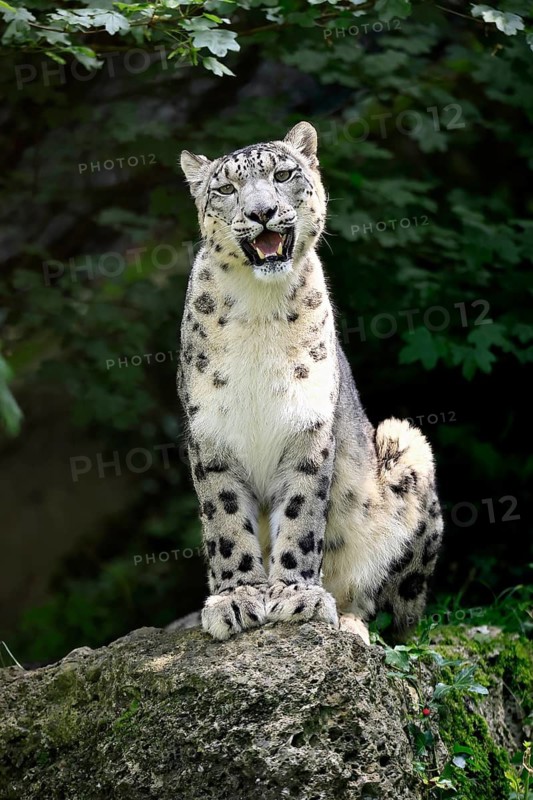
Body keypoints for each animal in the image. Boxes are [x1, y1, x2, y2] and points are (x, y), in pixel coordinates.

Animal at [177, 121, 443, 644]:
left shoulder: (309, 426)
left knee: (396, 615)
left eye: (282, 174)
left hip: (407, 448)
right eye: (226, 189)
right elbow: (225, 519)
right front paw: (238, 597)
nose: (260, 212)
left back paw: (352, 623)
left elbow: (302, 514)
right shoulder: (210, 432)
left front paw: (295, 595)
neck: (259, 311)